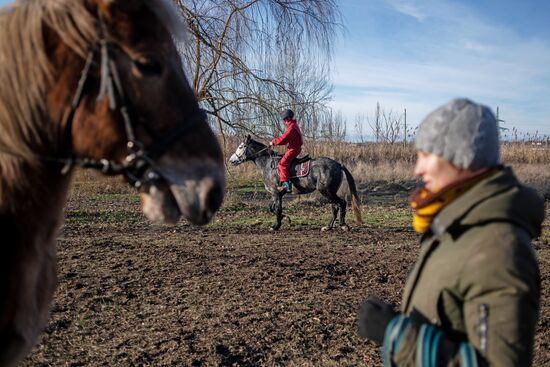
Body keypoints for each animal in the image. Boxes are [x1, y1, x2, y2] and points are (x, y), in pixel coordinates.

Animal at [231, 137, 364, 231]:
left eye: (241, 146)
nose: (231, 160)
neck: (268, 164)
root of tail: (338, 164)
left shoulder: (276, 192)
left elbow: (277, 209)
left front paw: (276, 226)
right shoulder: (277, 194)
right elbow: (273, 208)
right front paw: (285, 218)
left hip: (326, 191)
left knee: (341, 203)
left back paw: (343, 225)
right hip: (329, 192)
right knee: (334, 206)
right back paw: (328, 226)